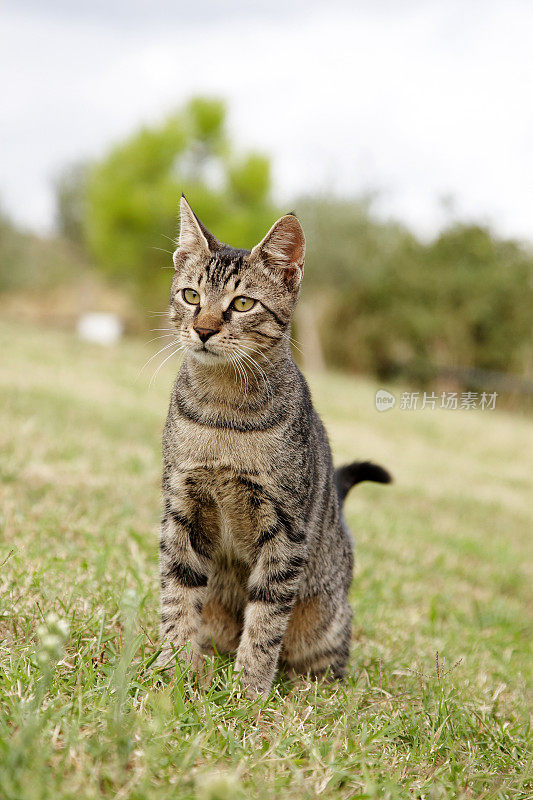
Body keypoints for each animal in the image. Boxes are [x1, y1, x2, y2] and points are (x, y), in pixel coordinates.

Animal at [156, 195, 388, 692]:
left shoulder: (284, 529)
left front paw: (250, 689)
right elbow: (177, 597)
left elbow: (265, 618)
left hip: (324, 622)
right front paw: (170, 671)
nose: (203, 330)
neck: (222, 412)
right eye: (191, 296)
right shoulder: (182, 509)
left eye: (243, 303)